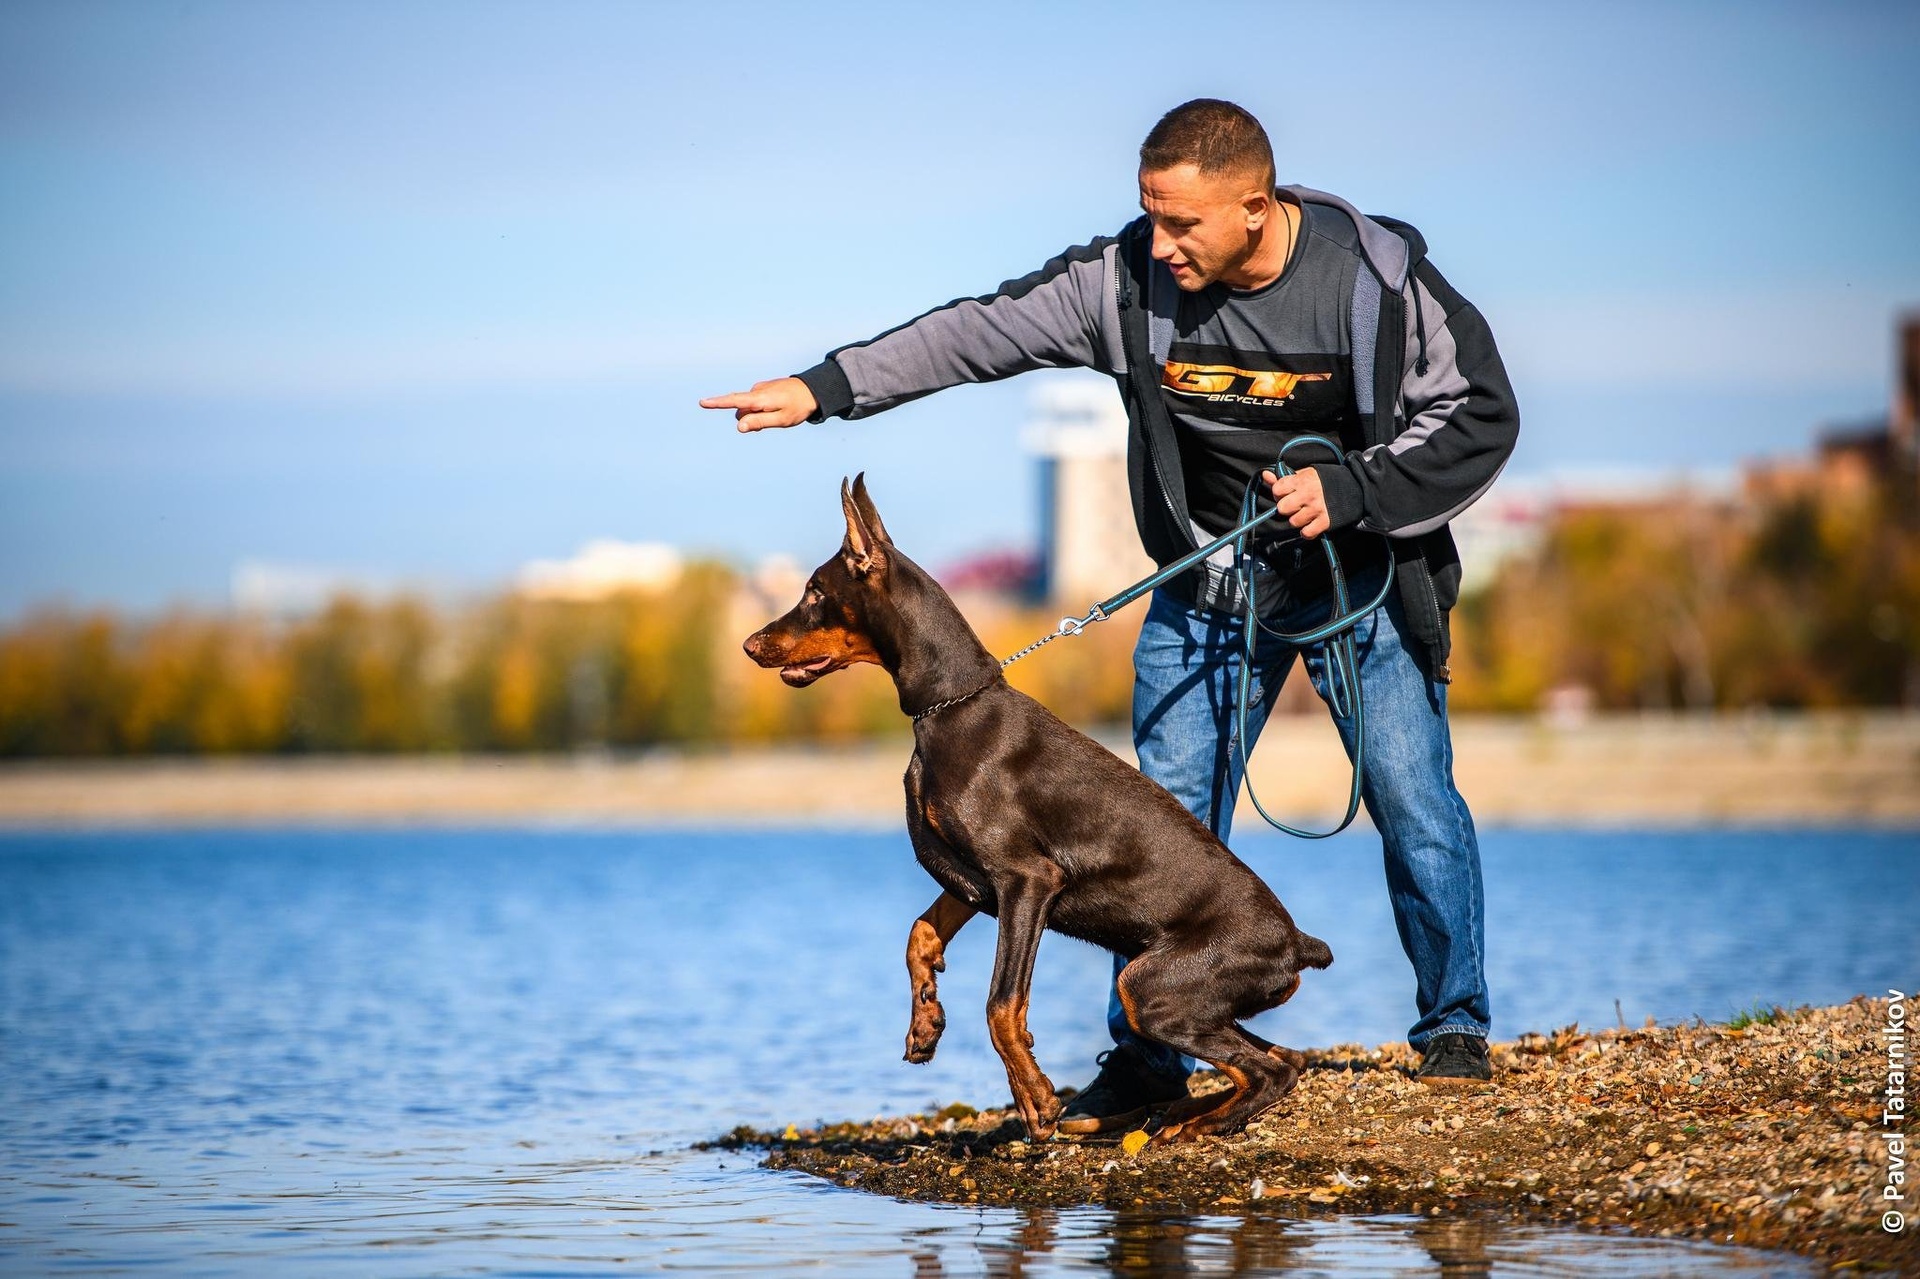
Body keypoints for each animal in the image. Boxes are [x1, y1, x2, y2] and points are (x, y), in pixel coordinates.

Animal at [741, 472, 1328, 1136]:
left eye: (815, 591)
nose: (749, 643)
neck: (949, 706)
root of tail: (1297, 943)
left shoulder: (1027, 880)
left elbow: (1001, 1004)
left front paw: (1036, 1098)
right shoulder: (976, 882)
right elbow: (920, 933)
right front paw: (926, 1023)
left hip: (1150, 985)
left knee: (1269, 1068)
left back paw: (1195, 1122)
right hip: (1188, 997)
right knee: (1285, 1058)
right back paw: (1181, 1110)